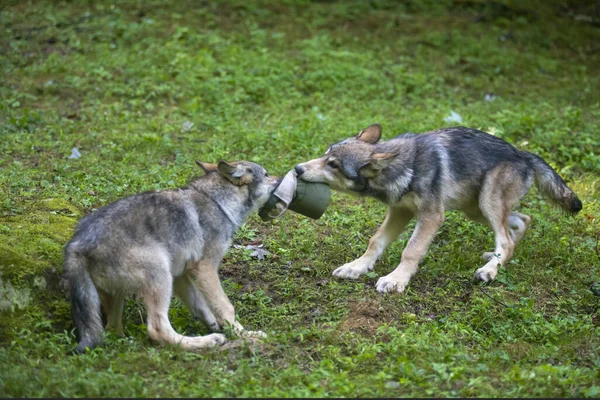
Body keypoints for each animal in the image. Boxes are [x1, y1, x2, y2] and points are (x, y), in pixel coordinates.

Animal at [62, 159, 278, 354]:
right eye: (267, 174)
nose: (280, 178)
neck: (218, 203)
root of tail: (76, 245)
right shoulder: (205, 268)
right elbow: (226, 307)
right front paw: (245, 334)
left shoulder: (182, 274)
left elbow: (200, 306)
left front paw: (213, 323)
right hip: (160, 275)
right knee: (157, 329)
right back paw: (208, 341)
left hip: (122, 293)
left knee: (112, 330)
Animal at [296, 125, 580, 294]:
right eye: (324, 155)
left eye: (333, 165)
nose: (298, 168)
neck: (405, 167)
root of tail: (523, 154)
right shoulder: (399, 212)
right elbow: (375, 241)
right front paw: (356, 267)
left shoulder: (432, 217)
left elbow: (410, 251)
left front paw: (396, 280)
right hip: (475, 210)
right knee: (521, 221)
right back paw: (494, 260)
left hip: (486, 204)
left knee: (507, 239)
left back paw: (489, 271)